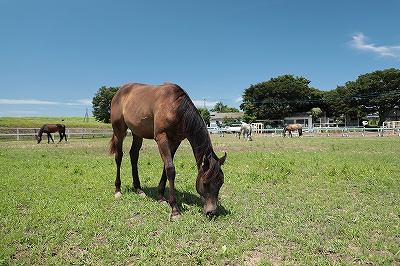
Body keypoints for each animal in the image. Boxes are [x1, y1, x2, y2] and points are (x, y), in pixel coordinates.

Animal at [109, 83, 227, 218]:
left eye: (221, 183)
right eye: (205, 183)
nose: (211, 212)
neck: (175, 107)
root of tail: (120, 91)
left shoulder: (176, 141)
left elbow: (166, 169)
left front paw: (161, 197)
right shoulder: (161, 138)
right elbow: (170, 169)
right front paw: (175, 209)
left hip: (137, 133)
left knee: (134, 155)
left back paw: (139, 189)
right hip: (119, 131)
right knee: (119, 157)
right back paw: (118, 190)